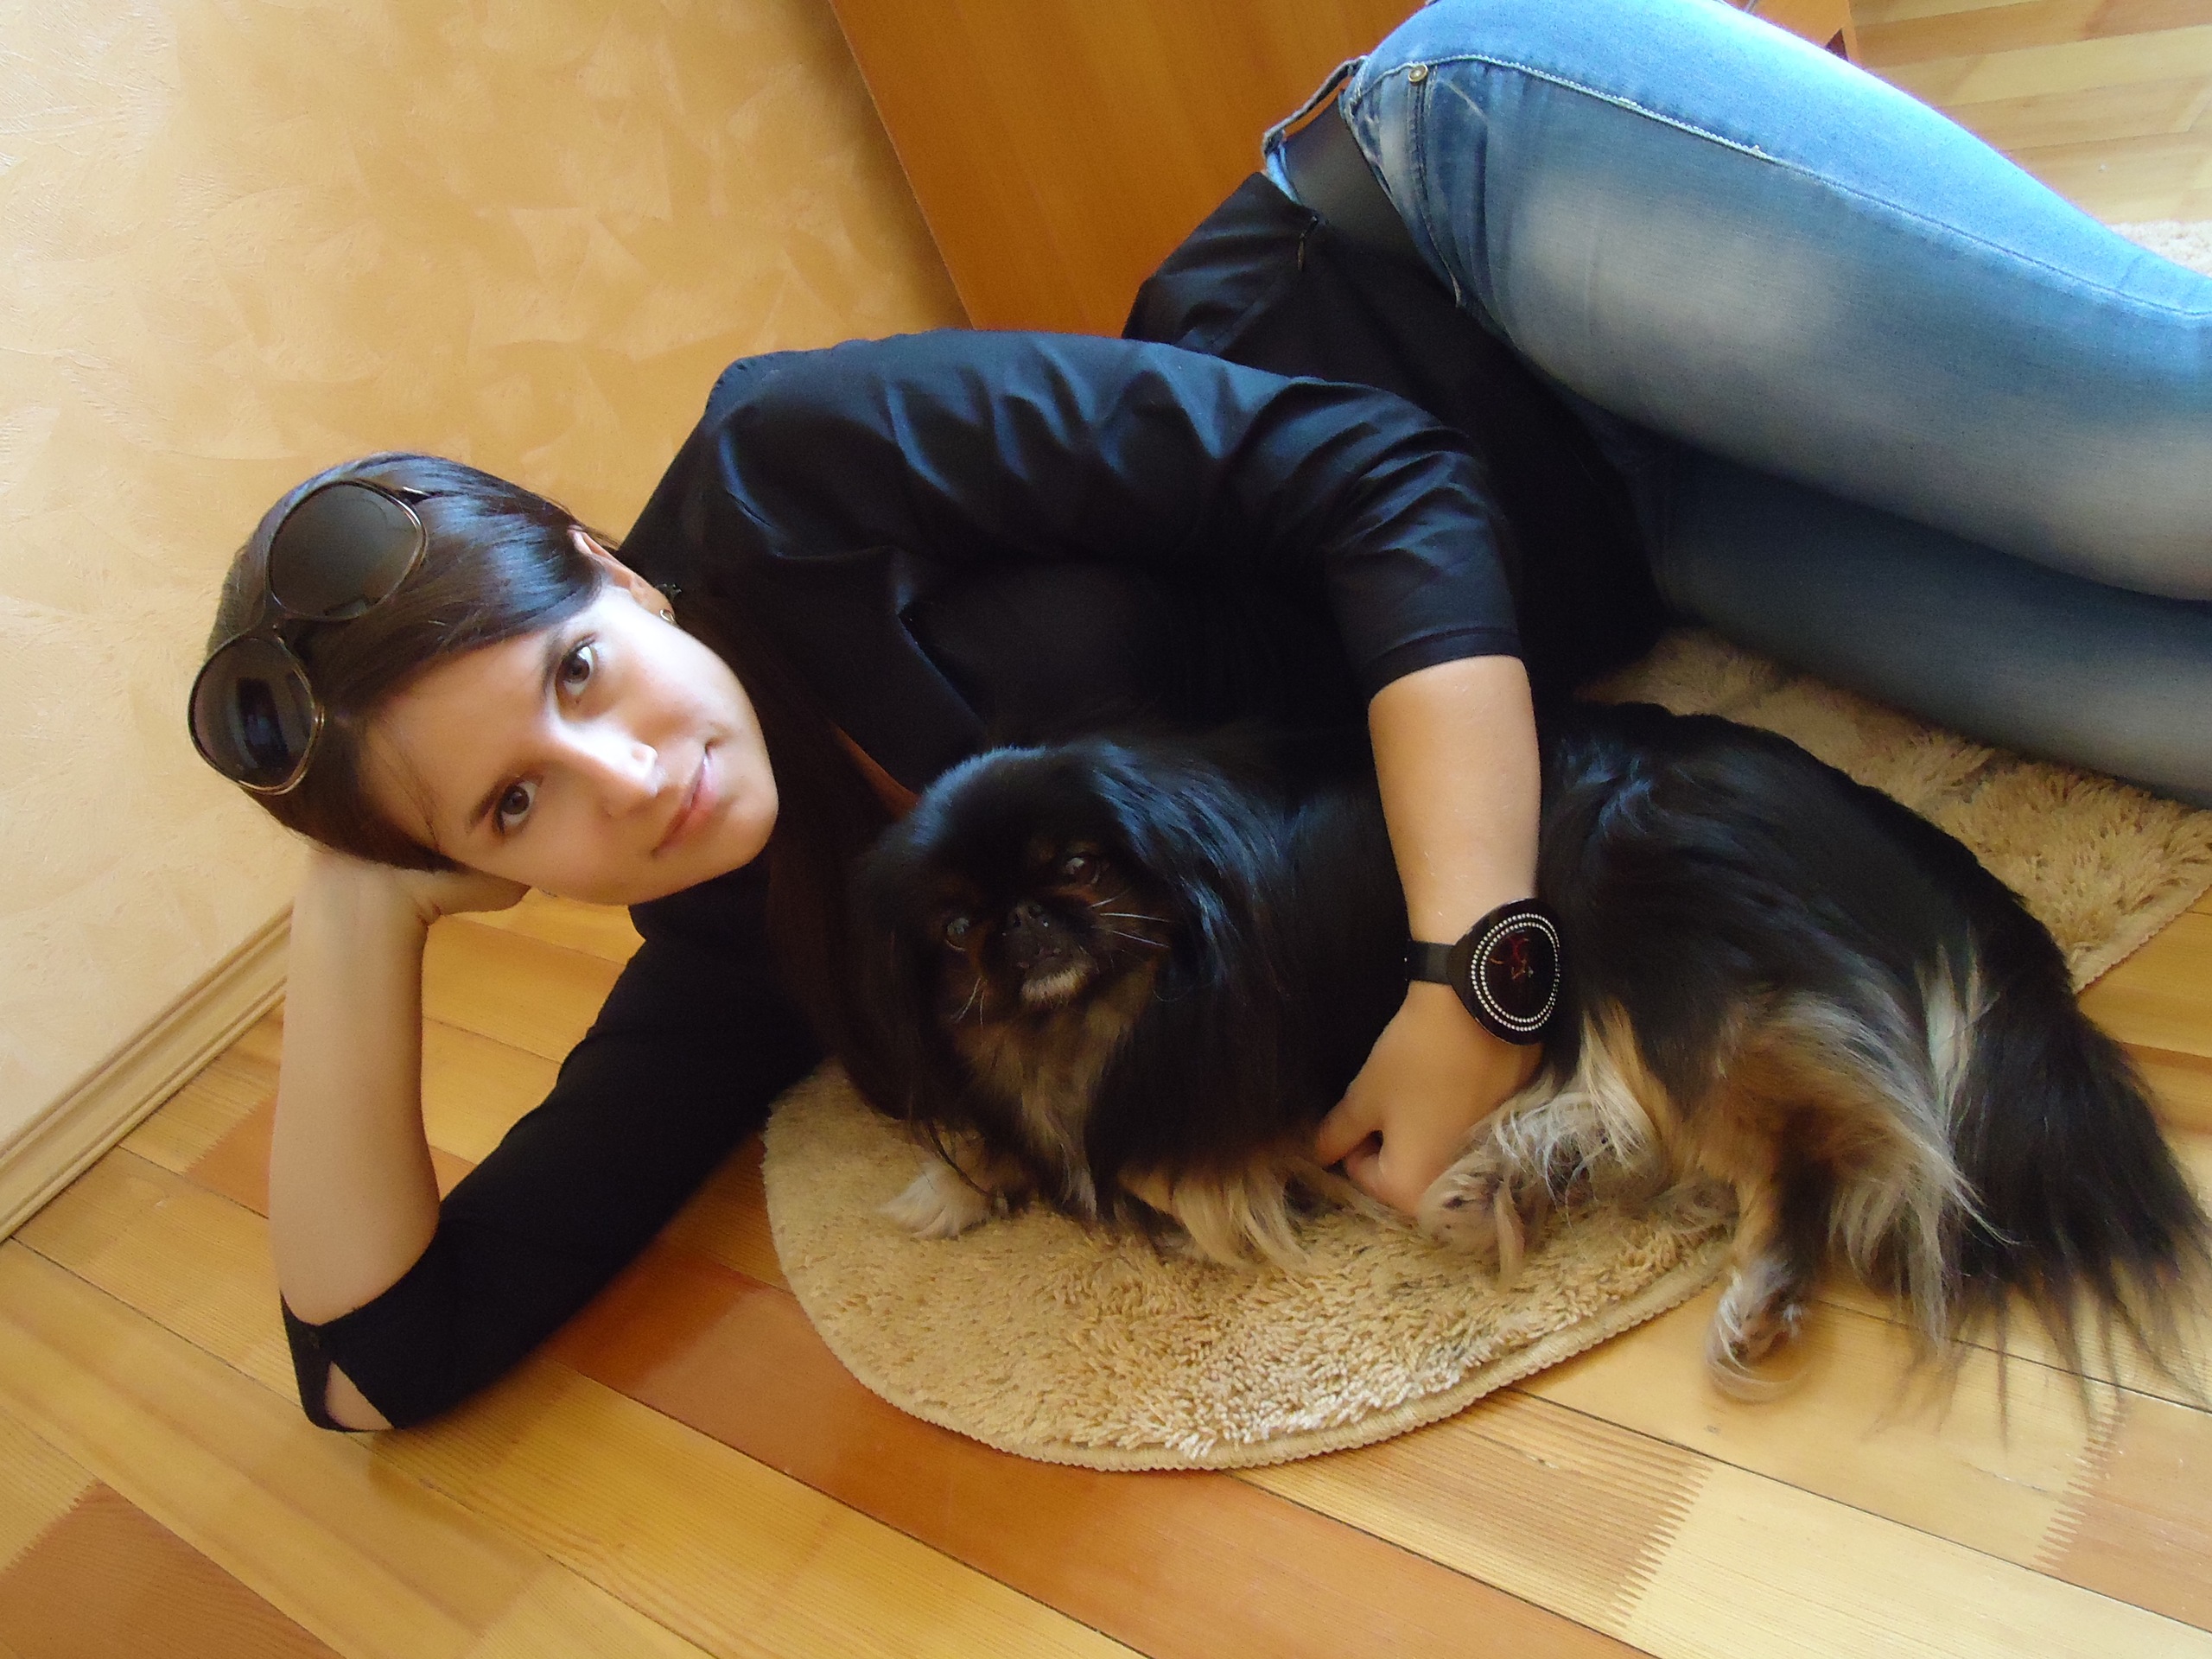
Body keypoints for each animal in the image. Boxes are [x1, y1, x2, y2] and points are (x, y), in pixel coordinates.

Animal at [845, 703, 2208, 1392]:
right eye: (956, 930)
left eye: (1080, 868)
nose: (1025, 921)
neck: (1117, 1008)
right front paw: (948, 1185)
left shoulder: (1209, 1112)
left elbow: (1143, 1165)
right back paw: (1522, 1177)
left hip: (1643, 901)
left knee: (1818, 1150)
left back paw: (1733, 1280)